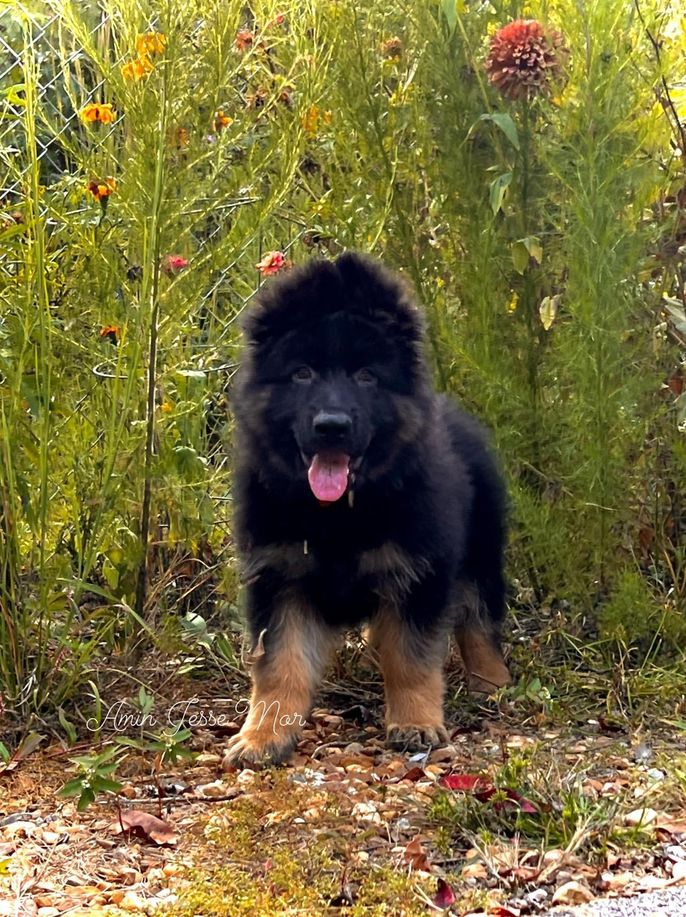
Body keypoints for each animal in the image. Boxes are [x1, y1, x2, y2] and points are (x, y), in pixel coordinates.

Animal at [224, 252, 510, 766]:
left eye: (366, 376)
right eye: (302, 373)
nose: (332, 427)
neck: (339, 516)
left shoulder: (418, 574)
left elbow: (411, 659)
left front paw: (415, 723)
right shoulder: (278, 577)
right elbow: (279, 666)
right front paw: (264, 735)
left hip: (481, 553)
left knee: (480, 621)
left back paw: (490, 684)